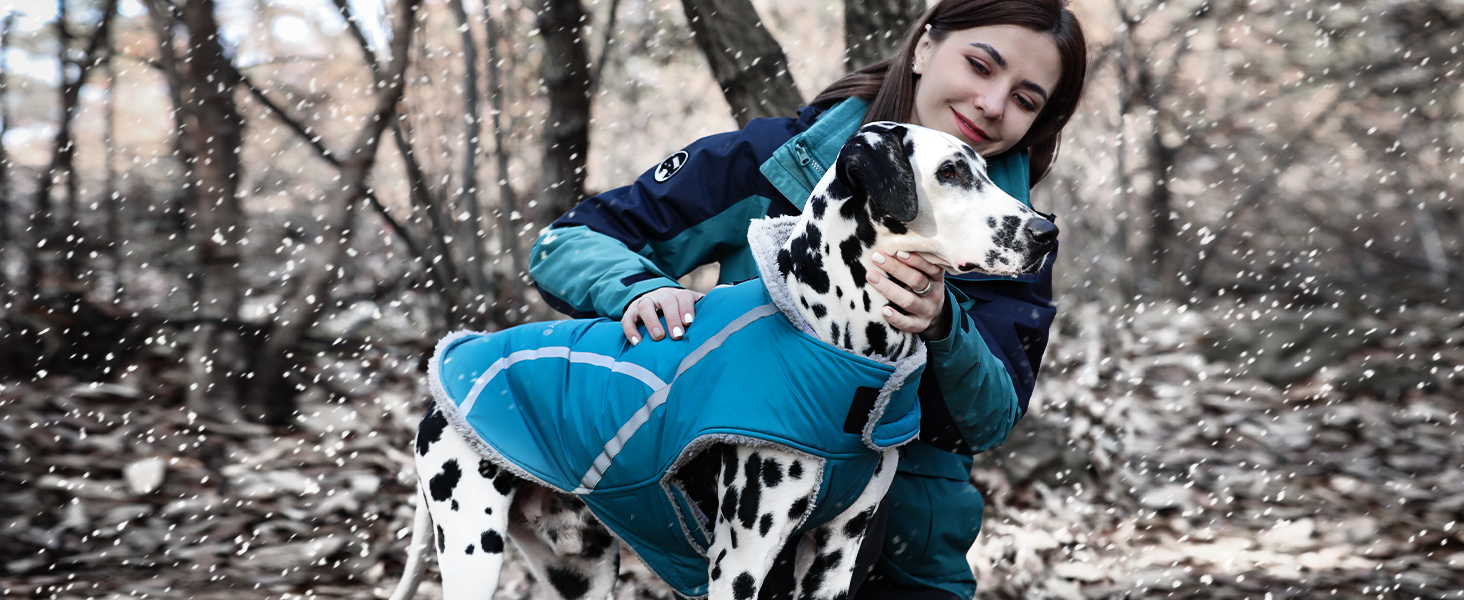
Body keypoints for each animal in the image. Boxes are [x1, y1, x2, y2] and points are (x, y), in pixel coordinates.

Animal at [386, 122, 1054, 600]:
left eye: (984, 168)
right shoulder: (739, 561)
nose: (1046, 233)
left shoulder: (835, 555)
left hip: (581, 571)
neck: (828, 332)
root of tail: (442, 381)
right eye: (949, 171)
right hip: (473, 544)